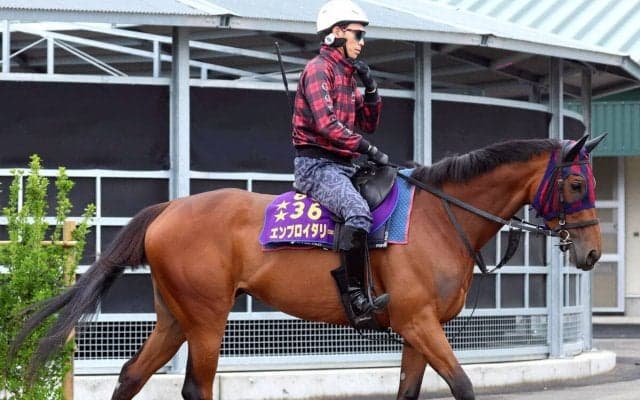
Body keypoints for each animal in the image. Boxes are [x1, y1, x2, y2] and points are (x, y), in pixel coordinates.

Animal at [10, 134, 605, 400]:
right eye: (577, 183)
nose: (593, 253)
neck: (440, 216)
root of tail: (170, 209)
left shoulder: (418, 331)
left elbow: (410, 391)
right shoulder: (419, 323)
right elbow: (462, 385)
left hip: (175, 316)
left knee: (133, 375)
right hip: (206, 320)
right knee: (194, 388)